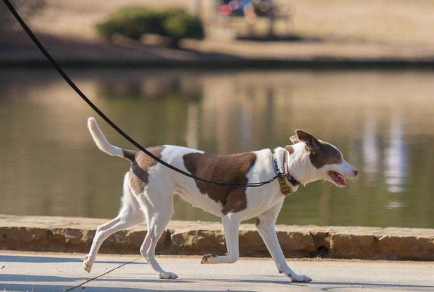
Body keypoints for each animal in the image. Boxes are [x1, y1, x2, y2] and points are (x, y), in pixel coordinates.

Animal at [82, 117, 356, 282]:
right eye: (337, 157)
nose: (355, 171)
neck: (281, 167)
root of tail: (136, 154)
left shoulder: (265, 224)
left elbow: (280, 256)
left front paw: (294, 276)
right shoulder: (231, 217)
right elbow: (234, 255)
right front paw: (210, 258)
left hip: (137, 211)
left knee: (102, 229)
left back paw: (88, 263)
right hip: (160, 212)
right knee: (144, 248)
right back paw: (163, 273)